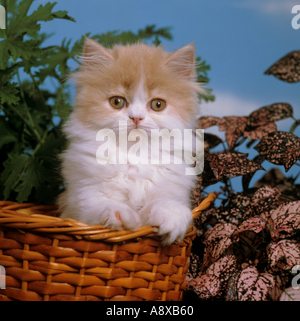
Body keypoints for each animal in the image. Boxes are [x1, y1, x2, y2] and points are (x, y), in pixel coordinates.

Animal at [58, 37, 204, 244]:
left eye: (157, 104)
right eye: (117, 102)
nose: (136, 117)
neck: (135, 154)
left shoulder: (170, 189)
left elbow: (162, 204)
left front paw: (171, 218)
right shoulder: (80, 200)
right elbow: (102, 205)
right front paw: (122, 217)